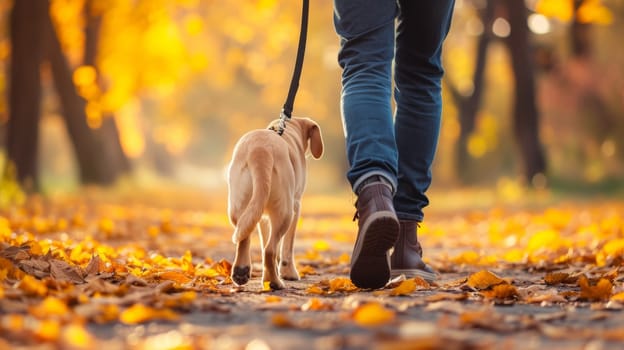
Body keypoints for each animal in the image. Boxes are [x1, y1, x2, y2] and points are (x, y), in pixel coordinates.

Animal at [228, 116, 324, 288]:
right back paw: (275, 283)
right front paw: (288, 273)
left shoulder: (262, 217)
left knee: (246, 239)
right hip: (285, 212)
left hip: (240, 207)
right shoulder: (296, 206)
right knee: (269, 250)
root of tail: (260, 151)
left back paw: (242, 272)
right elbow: (287, 247)